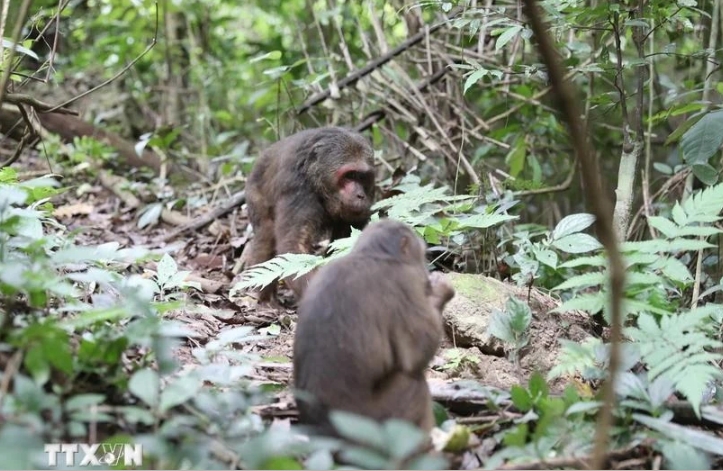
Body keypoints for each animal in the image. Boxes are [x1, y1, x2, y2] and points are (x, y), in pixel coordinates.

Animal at [245, 125, 376, 304]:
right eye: (350, 176)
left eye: (363, 177)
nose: (360, 195)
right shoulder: (298, 188)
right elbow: (294, 247)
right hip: (254, 192)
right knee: (266, 233)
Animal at [292, 219, 456, 436]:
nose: (425, 272)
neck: (374, 254)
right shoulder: (404, 282)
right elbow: (415, 356)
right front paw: (441, 288)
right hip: (376, 421)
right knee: (415, 384)